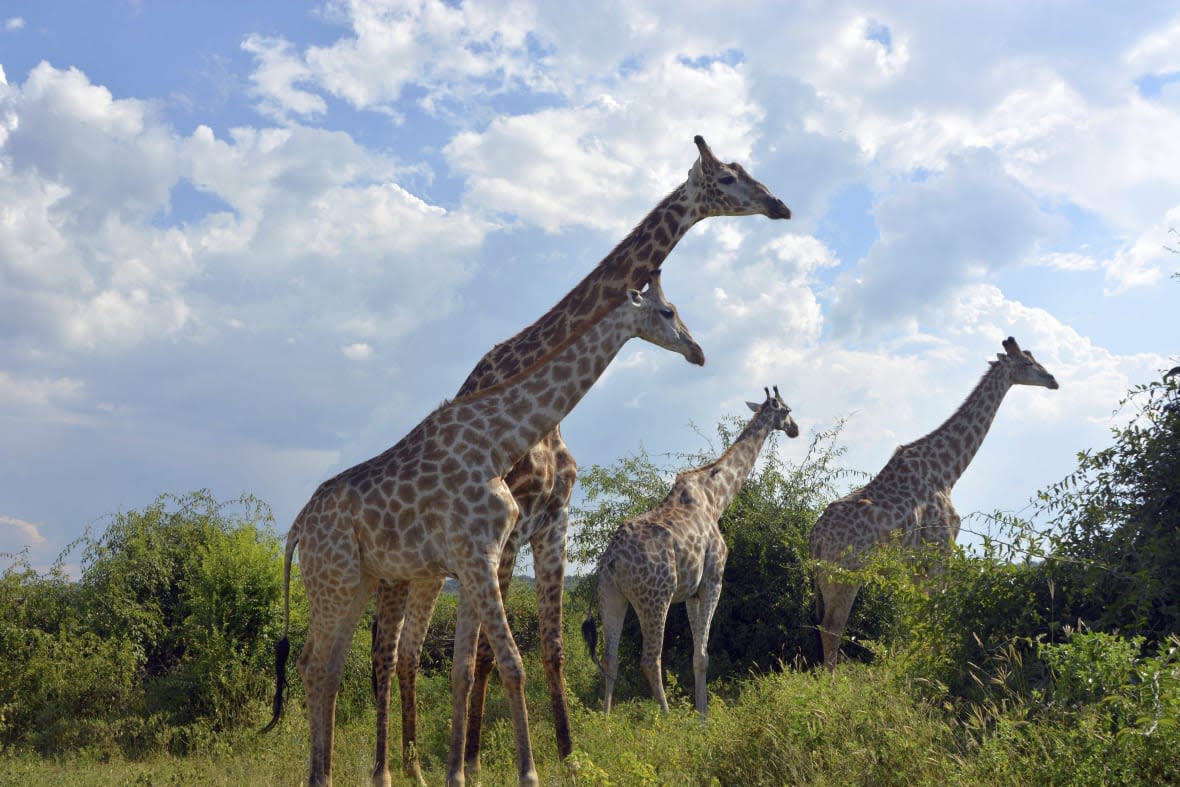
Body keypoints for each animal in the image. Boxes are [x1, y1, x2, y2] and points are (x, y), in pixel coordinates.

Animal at [264, 277, 703, 787]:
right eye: (668, 311)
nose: (697, 351)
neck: (497, 444)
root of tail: (297, 527)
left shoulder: (477, 560)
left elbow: (464, 667)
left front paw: (458, 774)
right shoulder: (477, 557)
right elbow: (511, 662)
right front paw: (528, 773)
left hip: (357, 581)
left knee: (325, 666)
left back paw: (327, 773)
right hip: (333, 579)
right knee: (317, 665)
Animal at [582, 384, 797, 717]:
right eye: (787, 410)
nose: (795, 429)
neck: (717, 498)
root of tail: (611, 560)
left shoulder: (690, 593)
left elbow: (697, 656)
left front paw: (701, 712)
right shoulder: (712, 581)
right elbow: (703, 656)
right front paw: (703, 717)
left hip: (612, 596)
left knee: (610, 658)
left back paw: (605, 719)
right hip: (655, 597)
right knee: (649, 659)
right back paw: (668, 716)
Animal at [811, 335, 1062, 674]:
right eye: (1027, 362)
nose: (1053, 380)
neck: (947, 470)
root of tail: (815, 538)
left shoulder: (915, 565)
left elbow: (914, 617)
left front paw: (911, 660)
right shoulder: (942, 550)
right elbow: (934, 612)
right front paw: (931, 663)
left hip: (825, 576)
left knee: (824, 624)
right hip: (845, 573)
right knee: (832, 625)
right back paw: (832, 680)